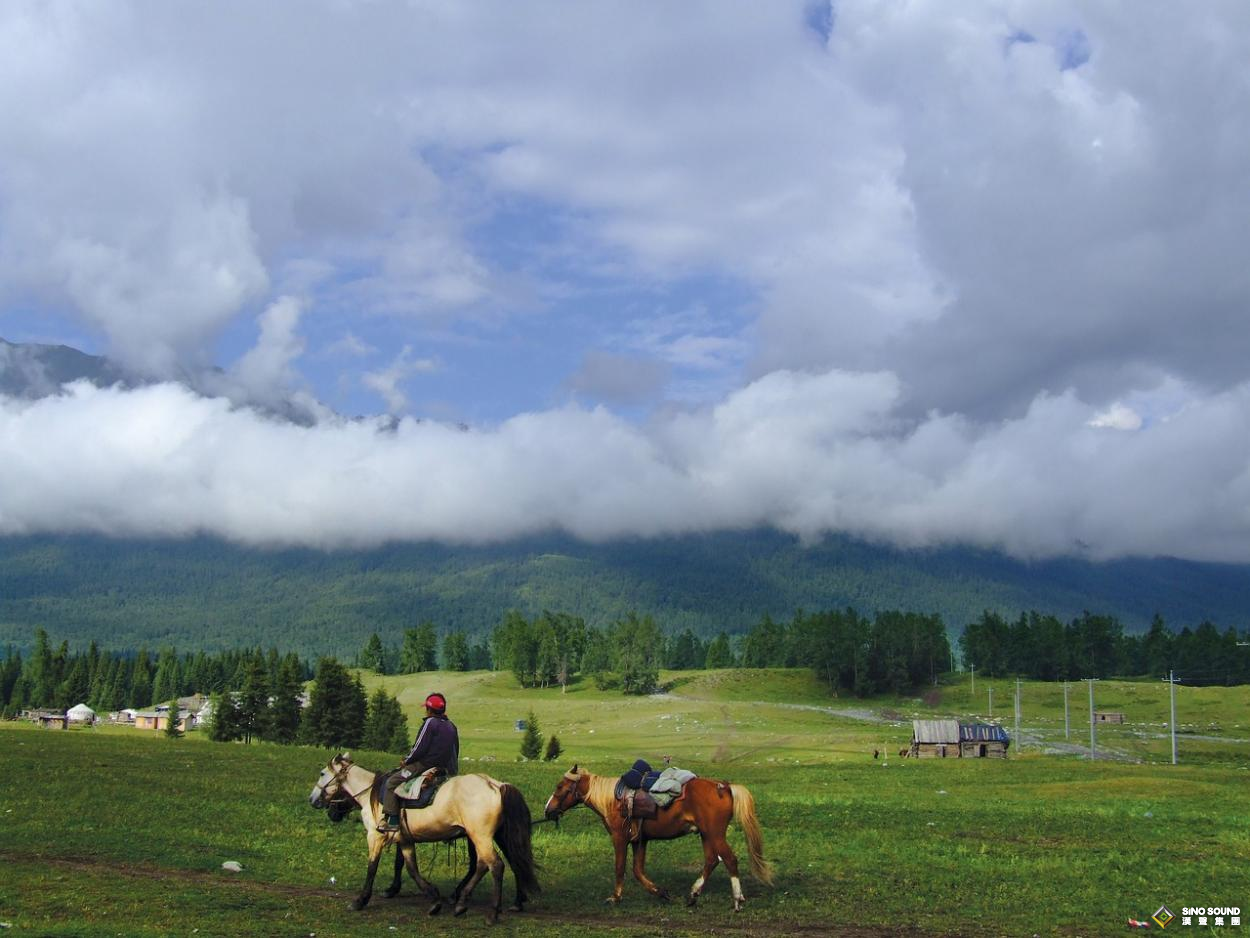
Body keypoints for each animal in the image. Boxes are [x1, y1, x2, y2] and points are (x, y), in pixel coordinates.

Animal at [308, 755, 537, 925]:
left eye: (322, 773)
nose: (312, 800)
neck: (370, 794)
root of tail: (495, 785)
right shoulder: (405, 840)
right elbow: (410, 867)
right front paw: (433, 899)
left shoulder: (375, 836)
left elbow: (372, 867)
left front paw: (360, 901)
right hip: (489, 836)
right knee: (494, 863)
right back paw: (467, 902)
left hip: (480, 836)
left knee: (495, 865)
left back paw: (491, 913)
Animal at [547, 765, 770, 915]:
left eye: (560, 786)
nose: (547, 810)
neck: (611, 800)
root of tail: (723, 786)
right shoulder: (639, 840)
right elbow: (637, 870)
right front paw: (661, 892)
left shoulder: (620, 838)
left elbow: (620, 868)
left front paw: (615, 898)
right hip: (706, 834)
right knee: (712, 860)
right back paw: (693, 894)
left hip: (715, 834)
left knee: (730, 860)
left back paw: (737, 900)